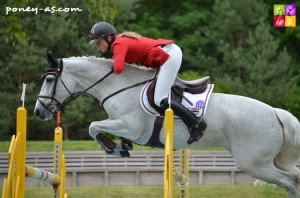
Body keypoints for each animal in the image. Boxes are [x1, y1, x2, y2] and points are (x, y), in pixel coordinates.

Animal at [34, 53, 300, 197]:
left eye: (49, 79)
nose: (37, 112)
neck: (117, 86)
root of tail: (275, 113)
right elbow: (96, 126)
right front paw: (120, 147)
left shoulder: (129, 126)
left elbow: (93, 126)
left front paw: (111, 146)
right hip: (267, 161)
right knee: (293, 179)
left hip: (253, 163)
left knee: (289, 181)